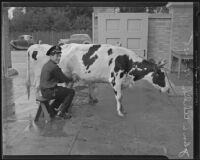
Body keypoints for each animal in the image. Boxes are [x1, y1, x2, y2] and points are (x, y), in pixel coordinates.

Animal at [26, 43, 170, 117]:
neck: (127, 61)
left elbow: (121, 97)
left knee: (67, 87)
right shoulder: (115, 79)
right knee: (36, 85)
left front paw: (123, 109)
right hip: (40, 74)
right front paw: (120, 112)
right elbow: (119, 97)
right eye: (161, 74)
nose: (168, 89)